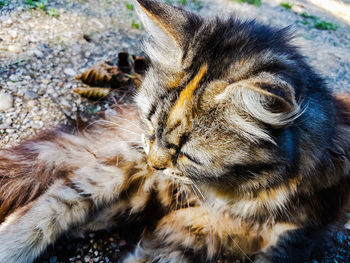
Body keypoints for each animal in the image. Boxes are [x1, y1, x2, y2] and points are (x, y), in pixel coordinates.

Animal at [0, 0, 350, 263]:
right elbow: (55, 204)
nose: (154, 164)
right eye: (150, 123)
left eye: (188, 156)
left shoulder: (217, 233)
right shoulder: (132, 173)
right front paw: (11, 245)